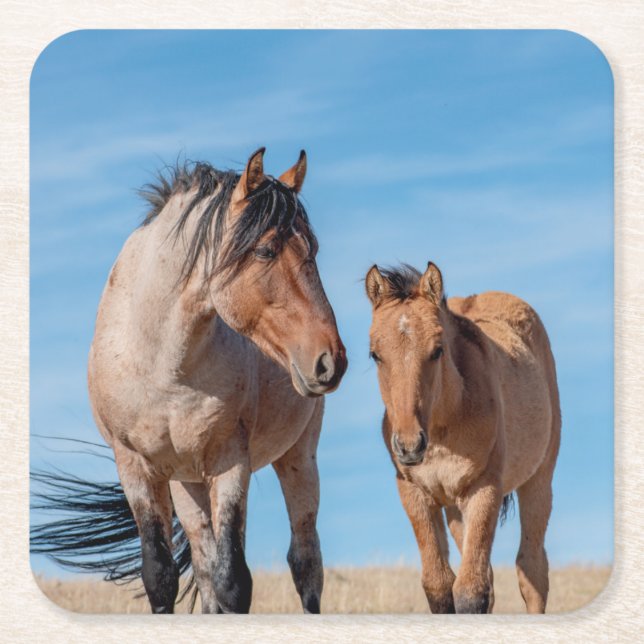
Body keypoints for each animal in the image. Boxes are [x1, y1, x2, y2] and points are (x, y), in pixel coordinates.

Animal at [34, 148, 348, 615]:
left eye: (314, 249)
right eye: (266, 250)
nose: (331, 360)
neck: (163, 365)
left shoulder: (230, 461)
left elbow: (234, 581)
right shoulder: (136, 467)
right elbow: (162, 576)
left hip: (297, 457)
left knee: (305, 563)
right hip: (187, 483)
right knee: (204, 565)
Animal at [365, 261, 560, 614]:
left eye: (437, 351)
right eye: (375, 354)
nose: (409, 446)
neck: (444, 428)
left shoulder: (484, 489)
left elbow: (471, 591)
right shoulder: (415, 492)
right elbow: (440, 586)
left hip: (538, 480)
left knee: (532, 571)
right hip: (455, 508)